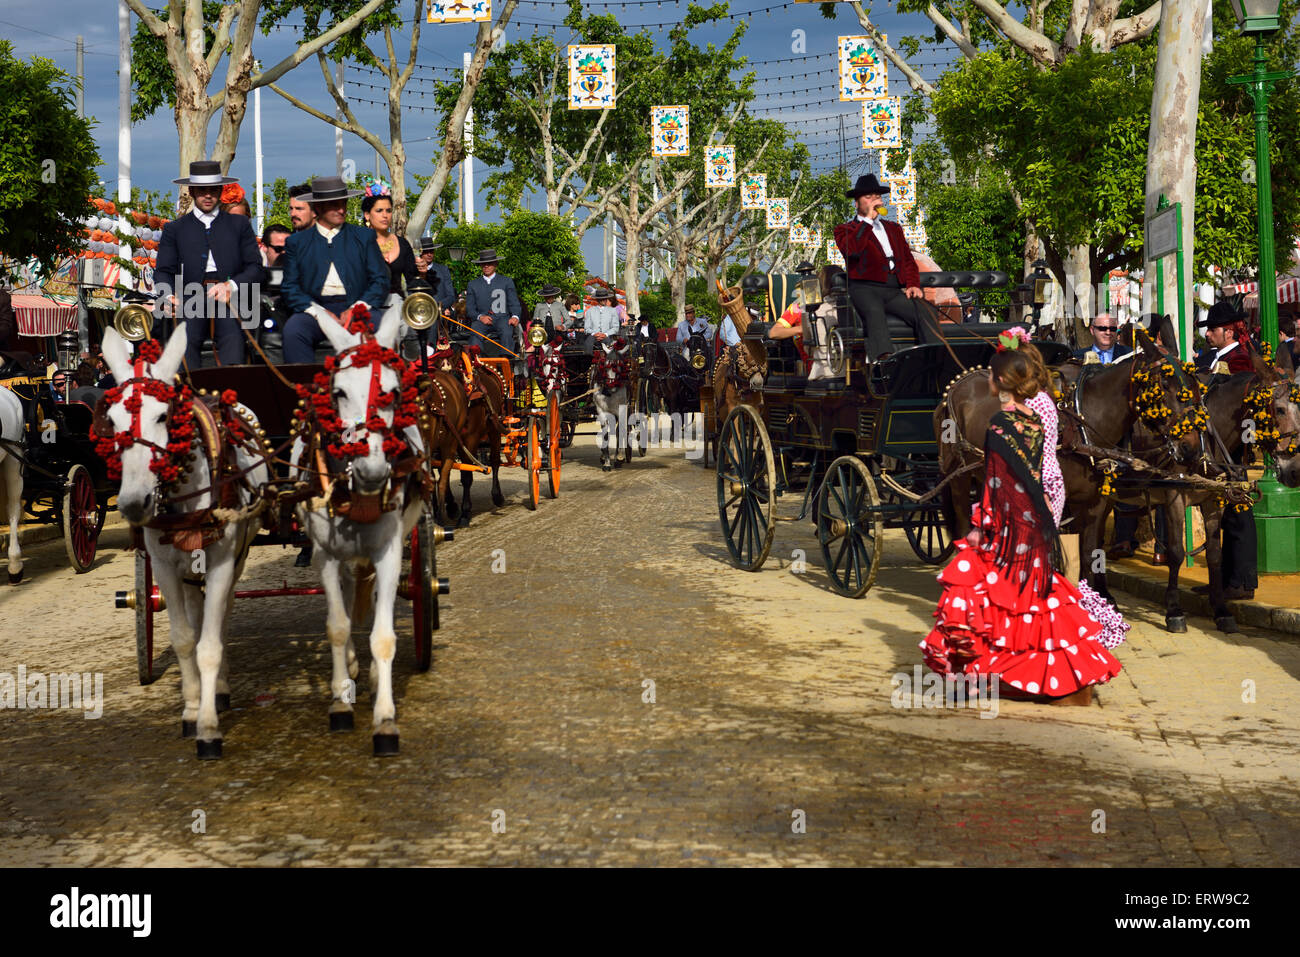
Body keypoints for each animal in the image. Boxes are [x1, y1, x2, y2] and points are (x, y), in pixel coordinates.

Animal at [103, 325, 271, 759]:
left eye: (164, 416)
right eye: (110, 420)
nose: (132, 503)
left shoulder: (223, 558)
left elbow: (209, 643)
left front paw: (209, 727)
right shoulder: (163, 564)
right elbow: (183, 639)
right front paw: (193, 709)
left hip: (236, 553)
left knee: (223, 611)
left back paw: (221, 689)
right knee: (198, 612)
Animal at [292, 302, 423, 759]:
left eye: (394, 393)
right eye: (339, 393)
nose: (372, 471)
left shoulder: (389, 551)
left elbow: (382, 637)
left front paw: (384, 718)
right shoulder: (326, 553)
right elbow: (337, 625)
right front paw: (339, 700)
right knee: (347, 600)